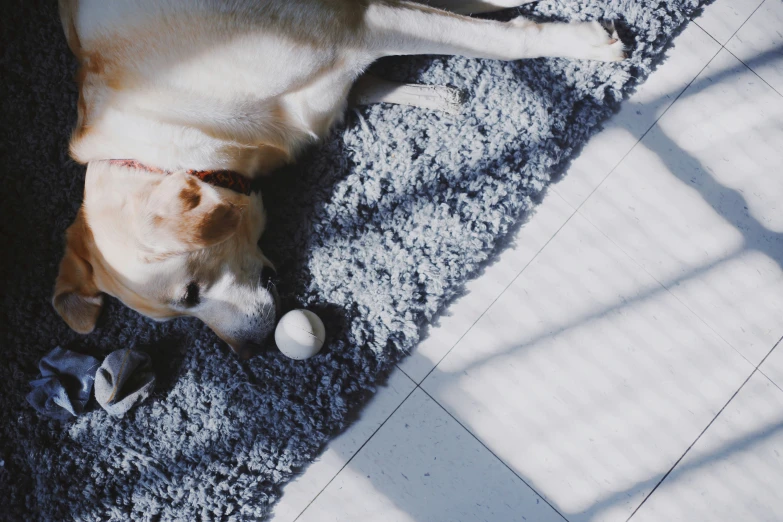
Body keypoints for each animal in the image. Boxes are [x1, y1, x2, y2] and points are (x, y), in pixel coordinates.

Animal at [55, 0, 624, 354]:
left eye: (191, 294)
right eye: (180, 317)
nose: (250, 354)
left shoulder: (359, 24)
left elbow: (498, 41)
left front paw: (580, 42)